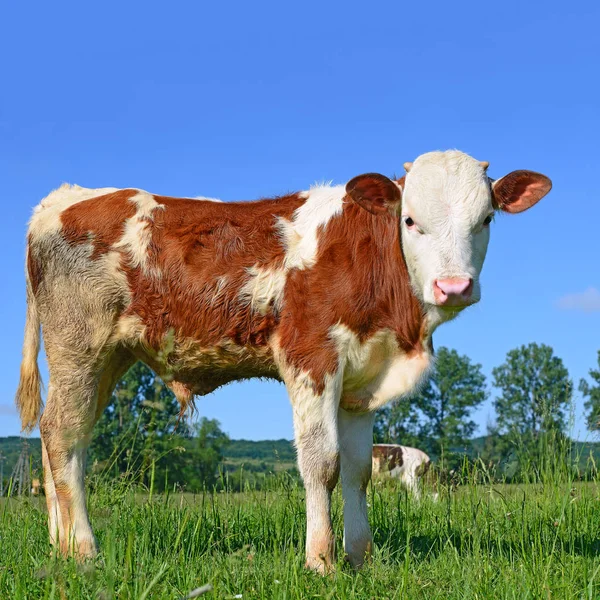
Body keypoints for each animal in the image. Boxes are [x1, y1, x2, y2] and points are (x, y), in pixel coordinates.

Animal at [15, 150, 548, 572]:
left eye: (487, 219)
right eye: (410, 220)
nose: (453, 286)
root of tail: (65, 198)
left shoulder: (361, 382)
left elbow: (357, 471)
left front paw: (360, 558)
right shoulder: (311, 360)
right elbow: (322, 464)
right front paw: (322, 560)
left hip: (108, 358)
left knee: (63, 436)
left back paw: (59, 545)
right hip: (78, 346)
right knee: (62, 436)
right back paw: (85, 551)